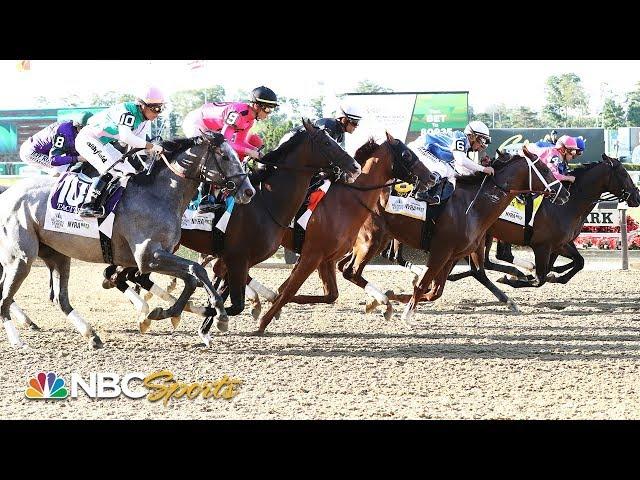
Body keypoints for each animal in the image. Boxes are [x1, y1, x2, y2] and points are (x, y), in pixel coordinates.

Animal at [0, 131, 255, 348]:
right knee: (5, 297)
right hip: (22, 258)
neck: (159, 195)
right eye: (225, 156)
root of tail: (7, 194)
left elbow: (192, 277)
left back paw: (91, 335)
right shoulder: (147, 257)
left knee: (59, 299)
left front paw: (166, 313)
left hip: (57, 255)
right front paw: (220, 314)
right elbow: (196, 270)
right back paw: (17, 340)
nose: (249, 191)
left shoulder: (156, 256)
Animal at [336, 147, 568, 322]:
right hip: (372, 239)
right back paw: (383, 302)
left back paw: (379, 300)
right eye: (545, 169)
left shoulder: (452, 255)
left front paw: (397, 298)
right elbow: (423, 284)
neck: (474, 205)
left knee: (345, 267)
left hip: (372, 240)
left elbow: (434, 292)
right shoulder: (440, 250)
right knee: (351, 271)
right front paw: (406, 313)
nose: (564, 193)